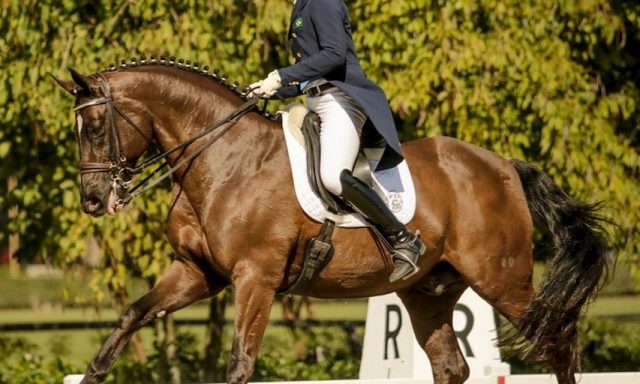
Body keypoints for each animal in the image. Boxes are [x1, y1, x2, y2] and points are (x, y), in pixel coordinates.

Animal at [52, 57, 608, 384]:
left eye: (96, 126)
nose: (95, 201)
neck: (223, 157)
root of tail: (503, 165)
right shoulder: (197, 272)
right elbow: (130, 316)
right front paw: (95, 371)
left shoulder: (256, 278)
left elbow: (240, 363)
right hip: (428, 291)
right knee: (451, 367)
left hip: (501, 277)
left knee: (557, 340)